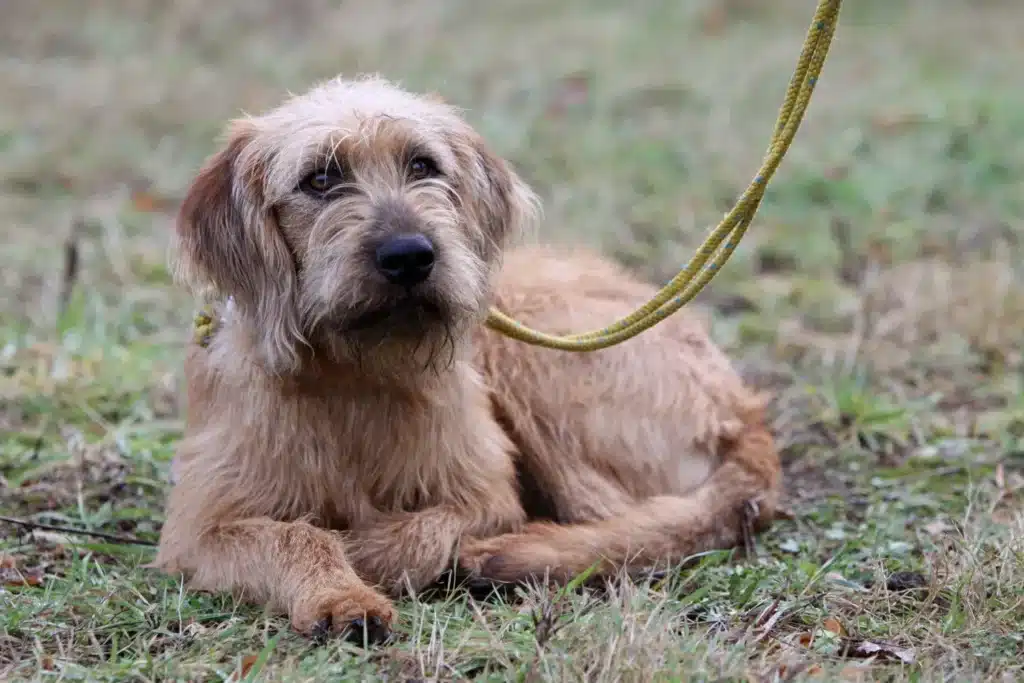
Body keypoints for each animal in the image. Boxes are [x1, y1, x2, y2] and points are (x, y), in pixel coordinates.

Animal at [151, 76, 778, 647]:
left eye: (422, 165)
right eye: (321, 179)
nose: (410, 255)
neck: (356, 372)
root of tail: (744, 410)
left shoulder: (487, 496)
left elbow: (419, 530)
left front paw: (361, 554)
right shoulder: (201, 526)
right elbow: (292, 536)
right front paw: (340, 593)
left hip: (527, 347)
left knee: (630, 526)